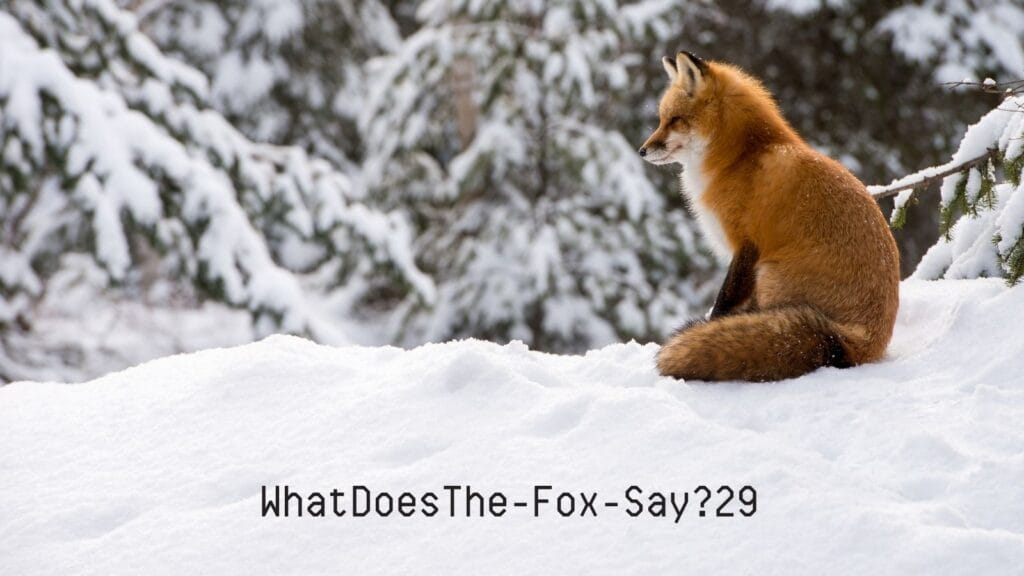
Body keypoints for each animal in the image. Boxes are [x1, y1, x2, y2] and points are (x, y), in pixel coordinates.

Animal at [641, 52, 900, 382]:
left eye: (674, 120)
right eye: (661, 119)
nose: (642, 150)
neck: (739, 158)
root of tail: (859, 342)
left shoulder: (746, 245)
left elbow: (723, 301)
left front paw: (710, 327)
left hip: (769, 274)